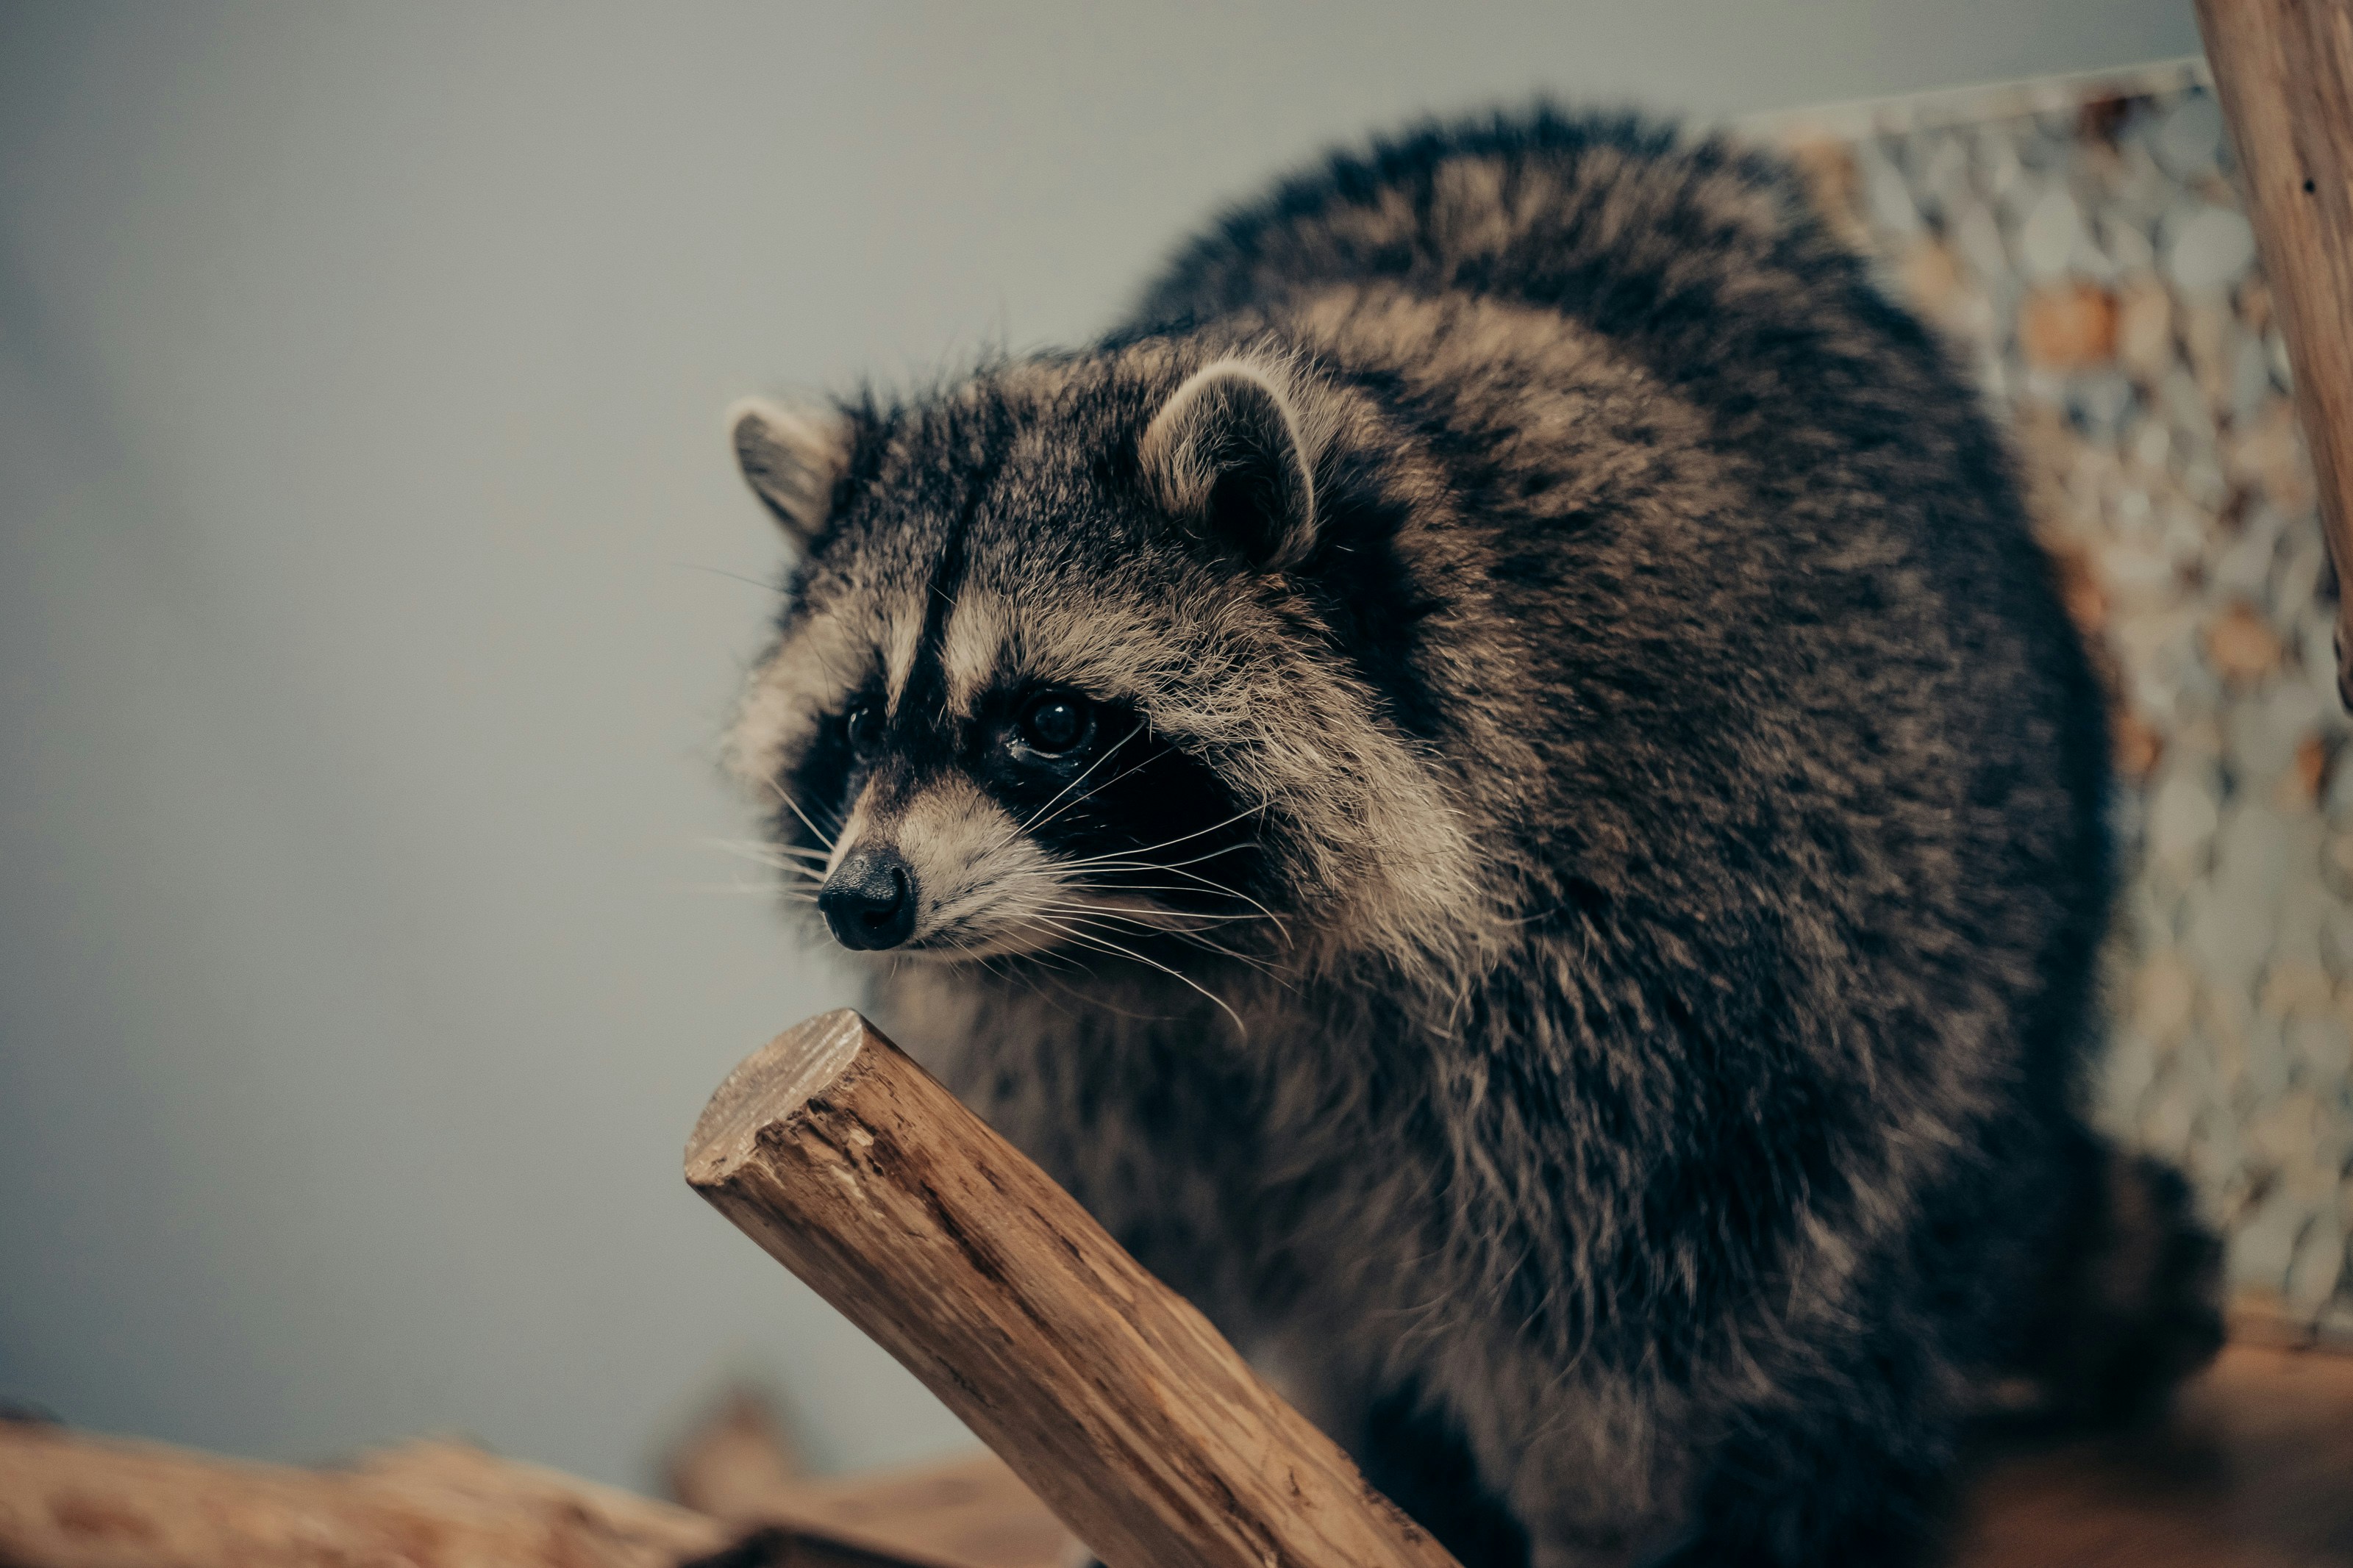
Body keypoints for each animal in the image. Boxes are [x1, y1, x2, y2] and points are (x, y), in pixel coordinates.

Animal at [722, 111, 2221, 1567]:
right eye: (861, 722)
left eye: (1045, 720)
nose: (867, 897)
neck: (1184, 944)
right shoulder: (1082, 1050)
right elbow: (1111, 1274)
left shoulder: (1643, 952)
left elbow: (1628, 1318)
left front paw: (1598, 1518)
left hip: (1959, 953)